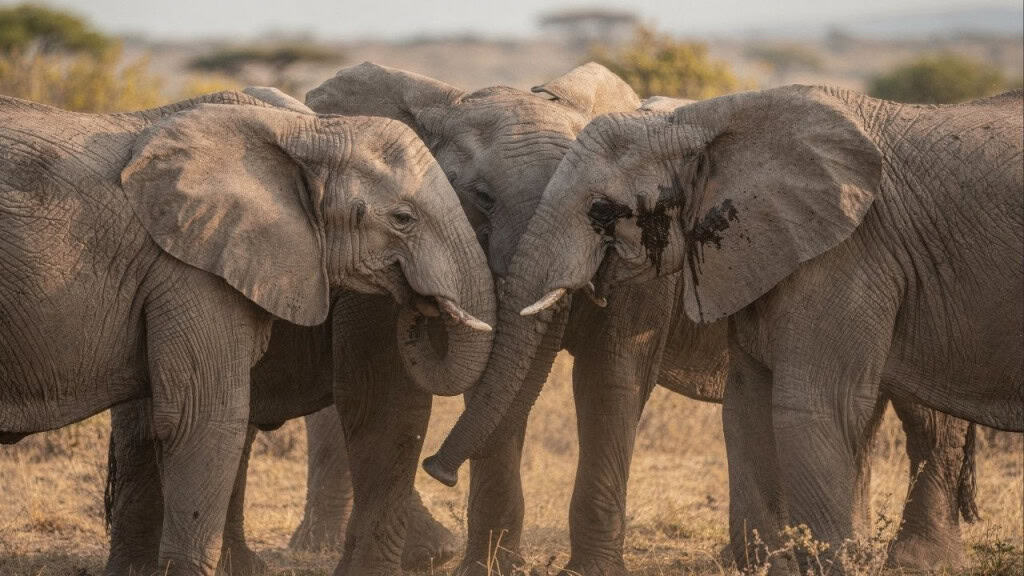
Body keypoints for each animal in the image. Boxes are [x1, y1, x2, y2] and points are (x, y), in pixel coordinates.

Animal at [308, 64, 985, 575]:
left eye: (600, 212)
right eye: (480, 199)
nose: (439, 471)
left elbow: (611, 380)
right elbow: (482, 396)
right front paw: (487, 569)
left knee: (926, 417)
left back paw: (916, 561)